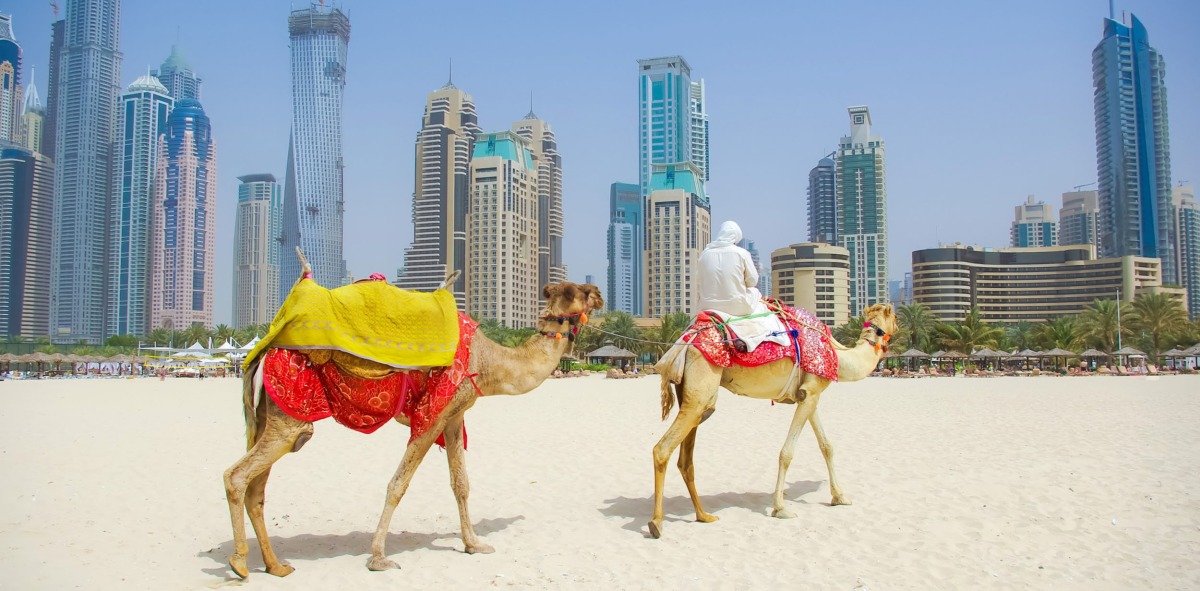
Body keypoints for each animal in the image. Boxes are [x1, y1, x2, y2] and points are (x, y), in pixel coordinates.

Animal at [222, 255, 603, 578]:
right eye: (580, 292)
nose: (599, 294)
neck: (487, 360)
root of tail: (262, 353)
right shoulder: (431, 414)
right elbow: (398, 484)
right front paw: (378, 558)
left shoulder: (455, 414)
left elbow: (461, 483)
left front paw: (474, 544)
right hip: (290, 414)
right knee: (237, 476)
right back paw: (239, 563)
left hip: (270, 417)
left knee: (257, 489)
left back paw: (275, 566)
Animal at [648, 303, 897, 538]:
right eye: (895, 317)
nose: (898, 327)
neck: (838, 355)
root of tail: (685, 340)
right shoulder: (811, 390)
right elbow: (787, 452)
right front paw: (780, 508)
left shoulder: (808, 395)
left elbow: (826, 446)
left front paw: (840, 496)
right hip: (701, 389)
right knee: (662, 449)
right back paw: (656, 523)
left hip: (693, 395)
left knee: (685, 460)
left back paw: (703, 515)